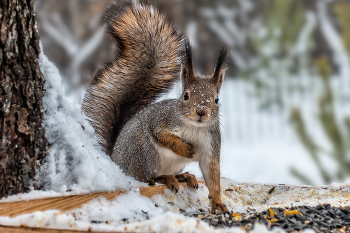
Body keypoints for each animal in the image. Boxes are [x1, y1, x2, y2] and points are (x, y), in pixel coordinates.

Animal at [82, 0, 230, 215]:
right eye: (185, 95)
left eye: (217, 99)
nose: (201, 112)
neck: (194, 127)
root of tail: (115, 161)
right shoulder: (161, 119)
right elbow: (162, 135)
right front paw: (183, 148)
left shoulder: (211, 143)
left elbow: (212, 175)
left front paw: (218, 202)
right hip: (144, 153)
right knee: (146, 179)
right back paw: (165, 178)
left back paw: (184, 176)